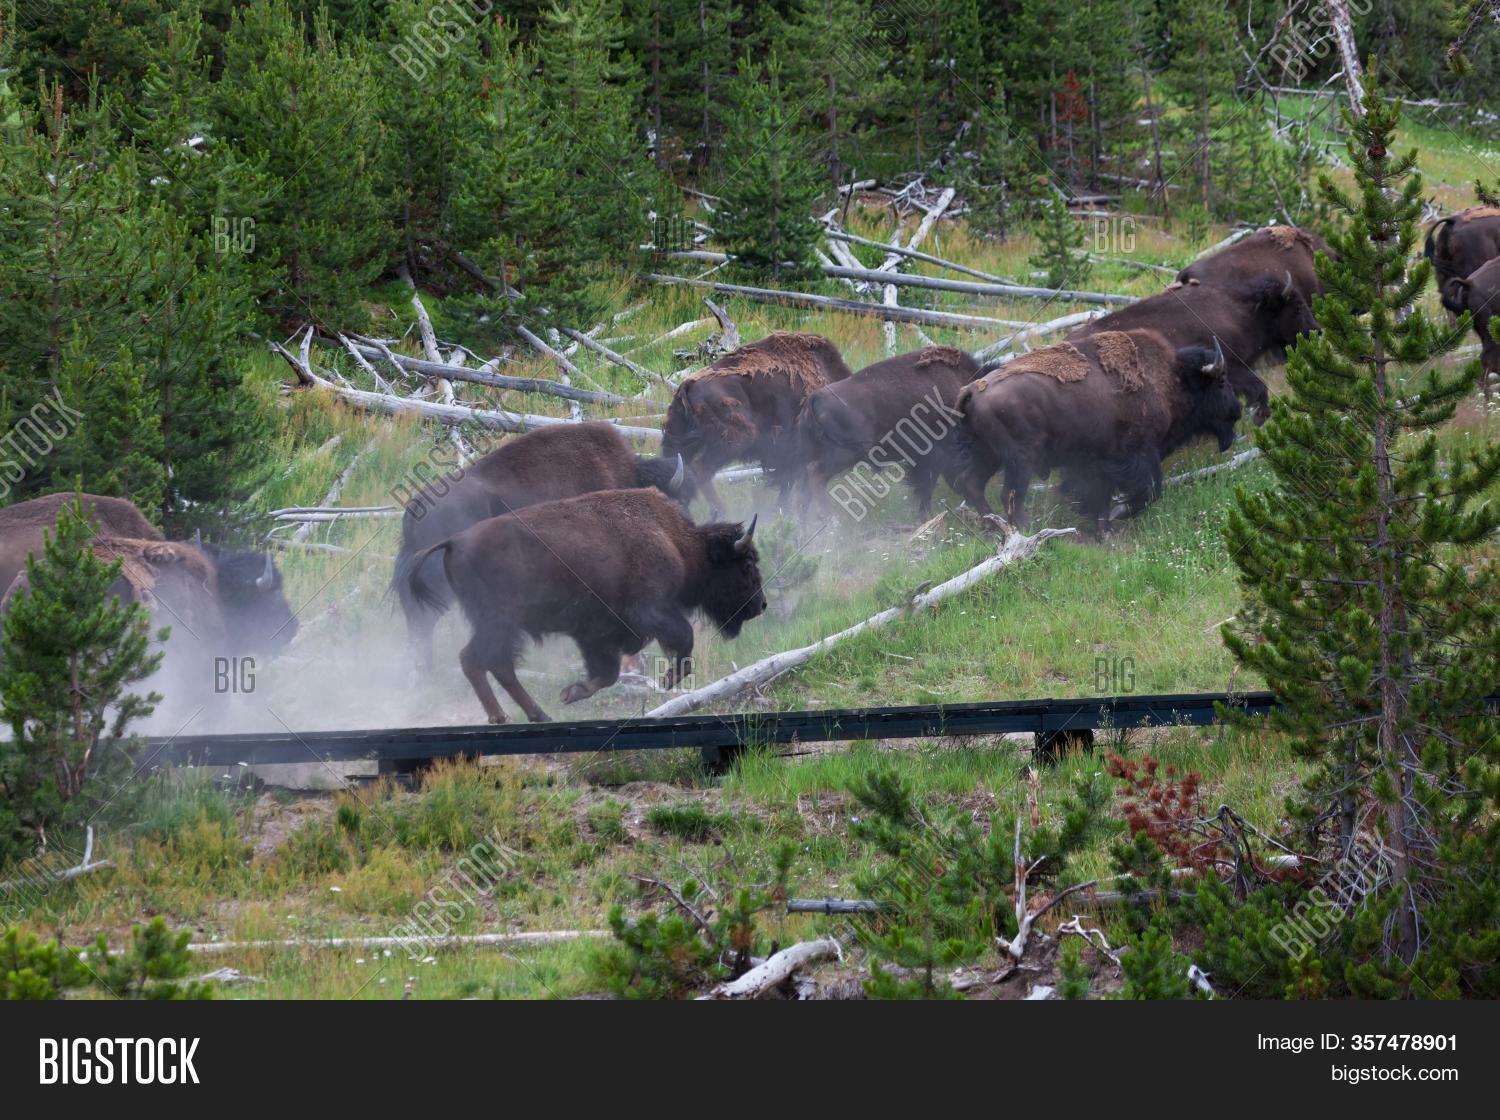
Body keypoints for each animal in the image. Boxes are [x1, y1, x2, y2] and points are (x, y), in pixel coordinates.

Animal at [404, 489, 766, 724]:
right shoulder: (648, 612)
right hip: (499, 622)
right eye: (746, 566)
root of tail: (454, 541)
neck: (677, 542)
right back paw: (508, 716)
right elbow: (683, 638)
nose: (761, 605)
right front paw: (669, 680)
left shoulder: (596, 636)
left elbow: (607, 673)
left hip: (500, 625)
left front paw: (572, 692)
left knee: (491, 662)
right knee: (481, 660)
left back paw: (532, 714)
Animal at [796, 346, 979, 518]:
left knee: (804, 488)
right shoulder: (935, 454)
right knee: (815, 474)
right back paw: (828, 516)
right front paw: (926, 515)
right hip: (845, 453)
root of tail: (815, 397)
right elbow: (926, 485)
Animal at [953, 329, 1240, 534]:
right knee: (1009, 494)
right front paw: (1117, 516)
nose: (1236, 410)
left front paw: (1105, 529)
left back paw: (992, 526)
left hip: (988, 454)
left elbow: (1102, 495)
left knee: (972, 483)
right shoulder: (1136, 454)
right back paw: (1023, 528)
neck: (1169, 378)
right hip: (1021, 460)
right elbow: (1148, 491)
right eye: (1221, 380)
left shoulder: (1099, 462)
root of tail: (972, 390)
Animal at [1073, 225, 1328, 423]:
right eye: (1297, 306)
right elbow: (1259, 387)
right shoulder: (1229, 366)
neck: (1239, 310)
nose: (1317, 330)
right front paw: (1259, 417)